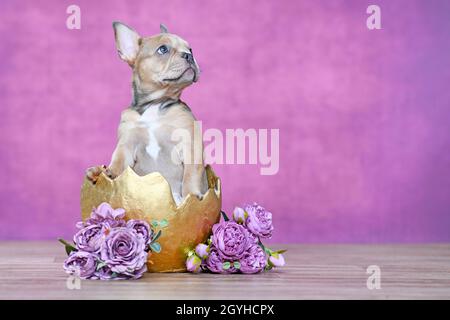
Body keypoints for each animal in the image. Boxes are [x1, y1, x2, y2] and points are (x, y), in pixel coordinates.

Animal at [85, 22, 207, 204]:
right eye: (163, 49)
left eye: (190, 49)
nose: (189, 56)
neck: (154, 104)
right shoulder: (127, 144)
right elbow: (119, 161)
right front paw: (109, 173)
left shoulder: (190, 144)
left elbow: (191, 175)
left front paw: (191, 195)